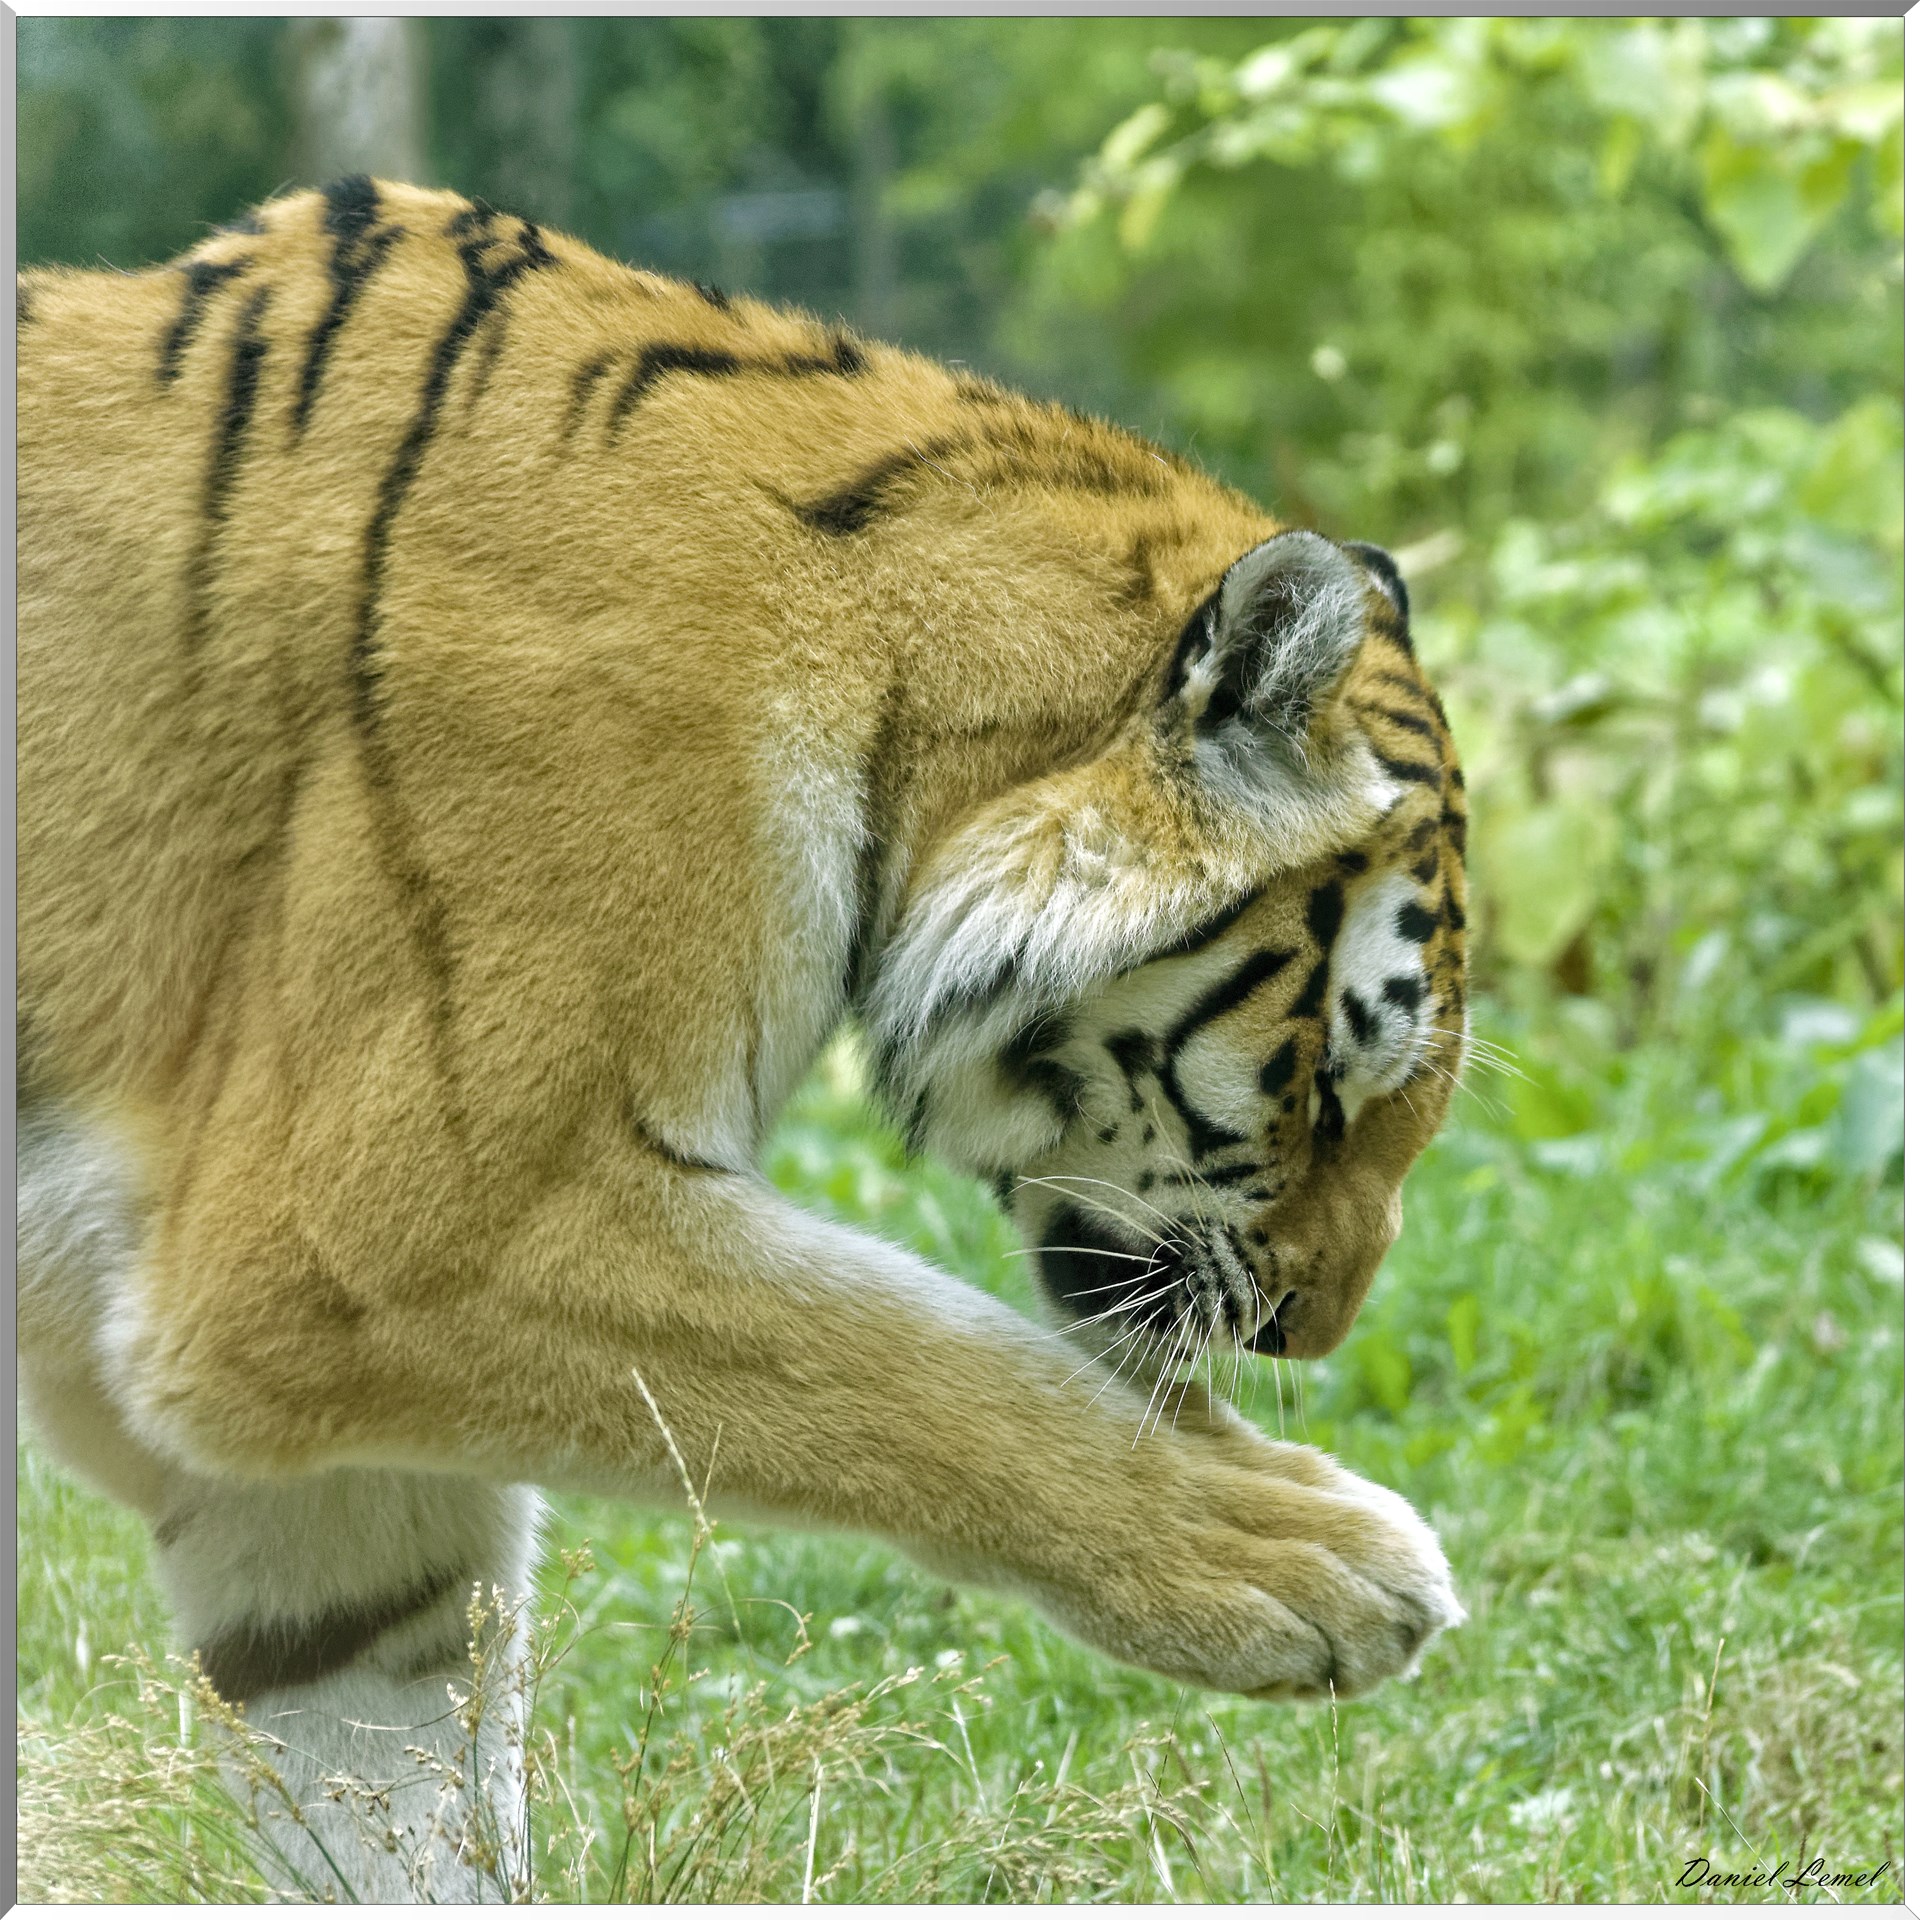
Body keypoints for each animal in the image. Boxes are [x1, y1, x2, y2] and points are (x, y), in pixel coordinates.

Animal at [18, 178, 1470, 1898]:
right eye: (1328, 1089)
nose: (1313, 1335)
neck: (895, 688)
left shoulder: (318, 1478)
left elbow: (395, 1791)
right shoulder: (379, 1238)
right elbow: (904, 1359)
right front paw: (1310, 1559)